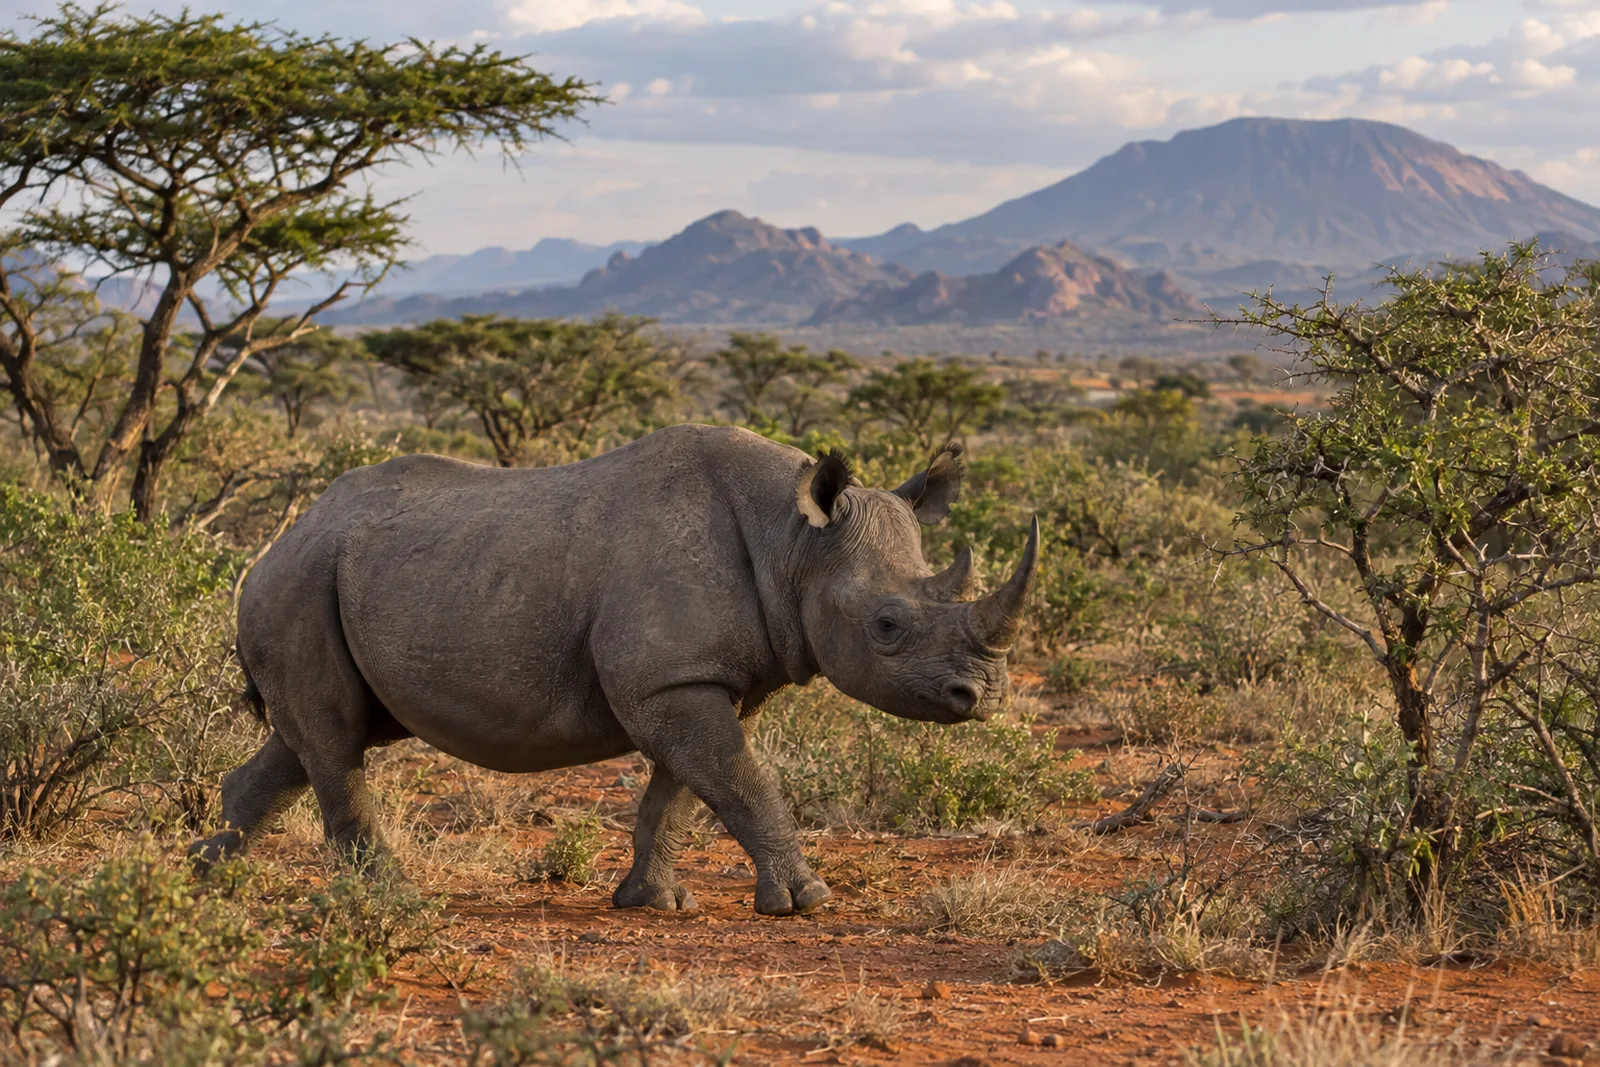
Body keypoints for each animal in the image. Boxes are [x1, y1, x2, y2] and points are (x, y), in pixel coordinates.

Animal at [189, 424, 1039, 915]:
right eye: (888, 626)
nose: (985, 695)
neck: (795, 539)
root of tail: (277, 540)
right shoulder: (671, 678)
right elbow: (740, 780)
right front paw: (806, 901)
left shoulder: (697, 678)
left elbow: (686, 790)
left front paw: (653, 902)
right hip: (300, 583)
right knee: (334, 742)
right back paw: (390, 901)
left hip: (335, 577)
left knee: (313, 741)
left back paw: (205, 877)